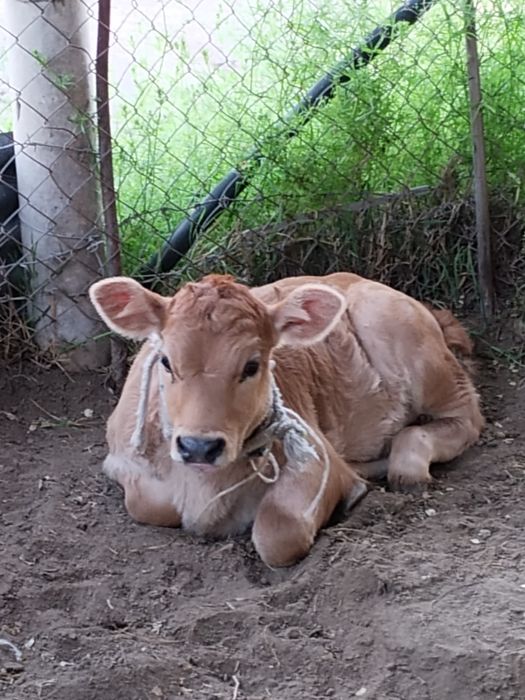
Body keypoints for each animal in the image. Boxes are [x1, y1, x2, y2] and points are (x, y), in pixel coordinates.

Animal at [89, 272, 484, 567]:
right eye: (166, 361)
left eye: (252, 365)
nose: (199, 446)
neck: (206, 485)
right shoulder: (122, 460)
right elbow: (148, 504)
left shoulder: (316, 454)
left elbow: (278, 532)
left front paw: (349, 494)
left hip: (416, 350)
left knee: (464, 418)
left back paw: (403, 467)